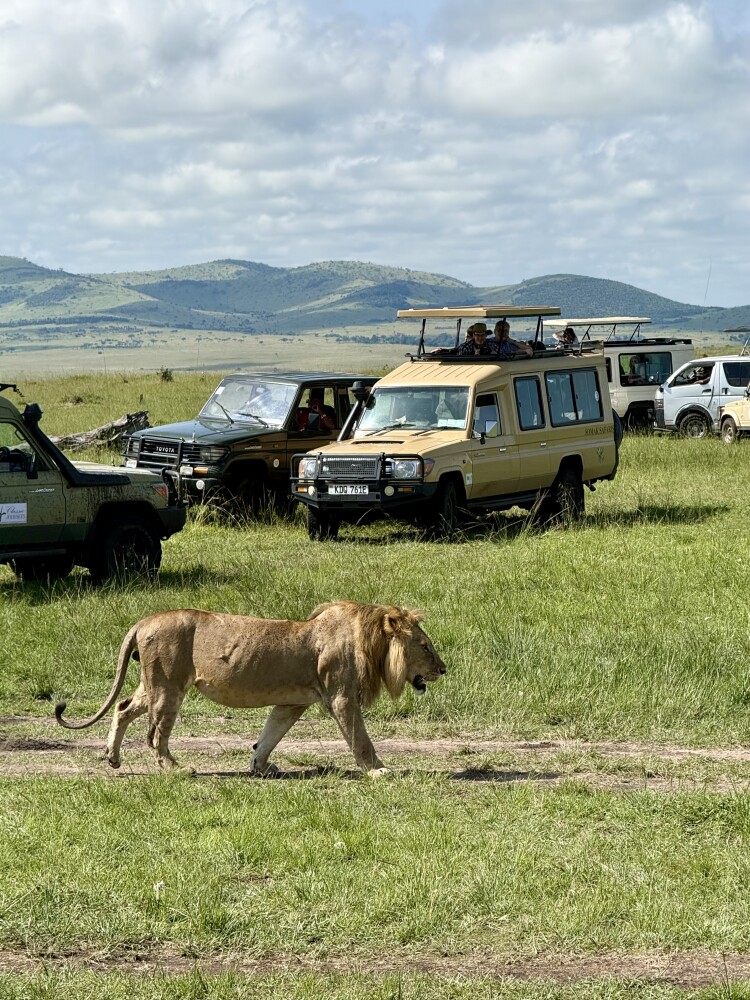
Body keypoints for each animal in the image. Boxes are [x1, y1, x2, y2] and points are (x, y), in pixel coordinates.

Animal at [55, 600, 446, 777]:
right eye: (425, 646)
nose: (444, 669)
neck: (370, 642)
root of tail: (143, 621)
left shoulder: (292, 703)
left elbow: (270, 734)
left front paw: (260, 766)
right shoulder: (341, 697)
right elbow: (360, 738)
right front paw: (378, 770)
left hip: (151, 685)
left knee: (122, 708)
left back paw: (113, 757)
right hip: (169, 686)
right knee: (155, 735)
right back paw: (177, 769)